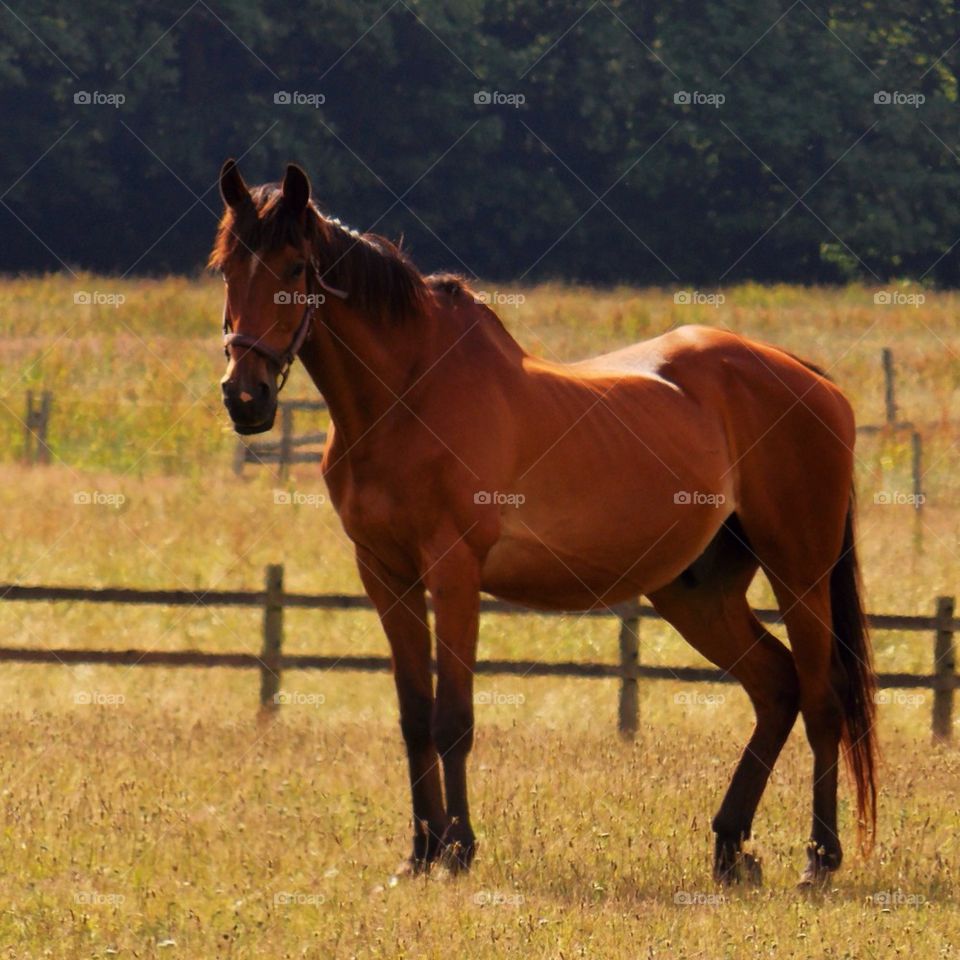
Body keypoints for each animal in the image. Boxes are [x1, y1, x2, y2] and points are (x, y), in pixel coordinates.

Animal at [211, 159, 877, 887]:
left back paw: (819, 859)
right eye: (226, 268)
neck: (408, 395)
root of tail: (814, 381)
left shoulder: (453, 572)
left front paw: (458, 850)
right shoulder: (385, 575)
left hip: (800, 572)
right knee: (777, 687)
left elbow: (453, 719)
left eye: (295, 266)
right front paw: (418, 853)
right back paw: (730, 849)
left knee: (822, 699)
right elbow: (414, 717)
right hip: (696, 593)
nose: (244, 397)